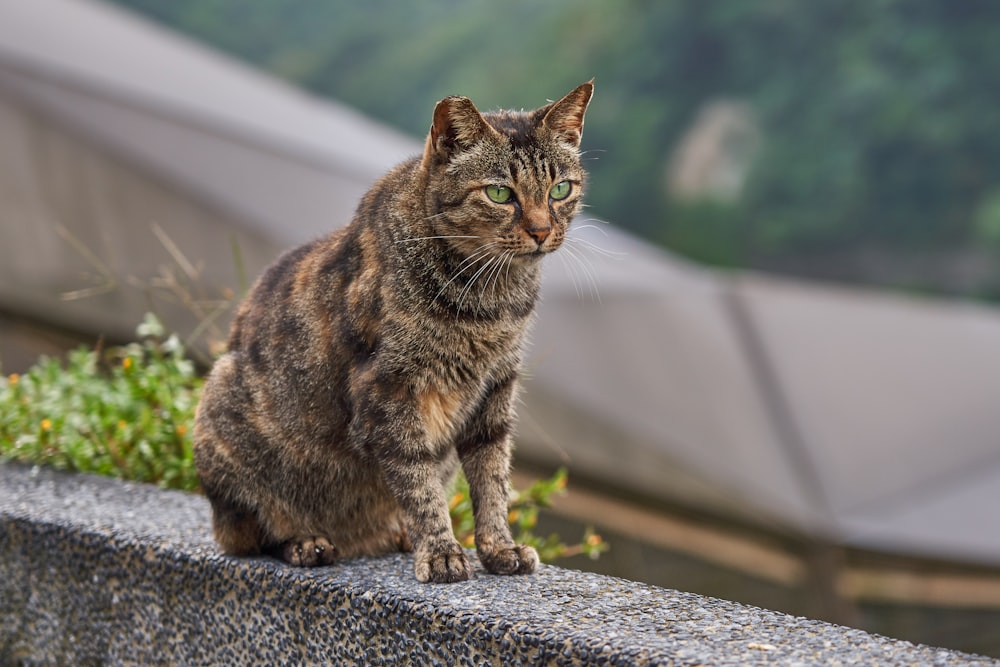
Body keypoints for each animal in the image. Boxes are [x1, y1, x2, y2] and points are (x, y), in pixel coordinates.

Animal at [195, 82, 592, 584]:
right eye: (500, 193)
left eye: (560, 189)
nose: (541, 230)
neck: (489, 299)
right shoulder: (390, 391)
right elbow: (418, 480)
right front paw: (441, 552)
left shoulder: (495, 394)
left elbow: (492, 481)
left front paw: (499, 548)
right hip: (222, 406)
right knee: (252, 531)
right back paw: (306, 540)